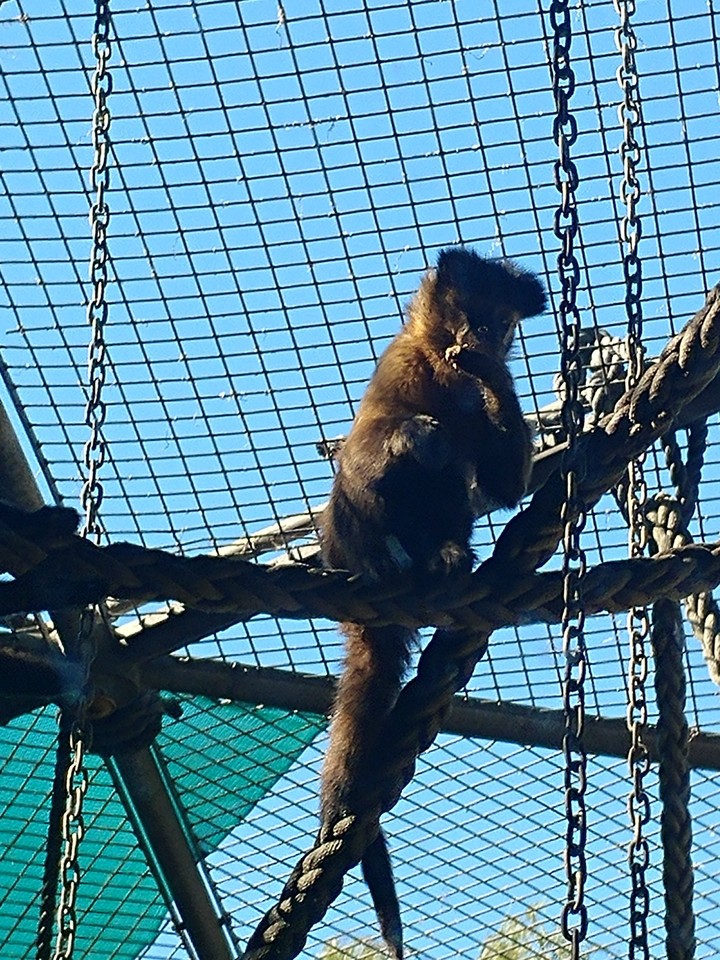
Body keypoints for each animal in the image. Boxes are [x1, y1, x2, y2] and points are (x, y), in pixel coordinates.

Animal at [319, 247, 546, 958]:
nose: (484, 337)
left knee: (451, 483)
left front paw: (492, 375)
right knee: (384, 476)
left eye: (501, 322)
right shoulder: (402, 365)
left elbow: (505, 486)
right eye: (471, 310)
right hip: (344, 541)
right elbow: (365, 454)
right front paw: (416, 436)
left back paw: (443, 556)